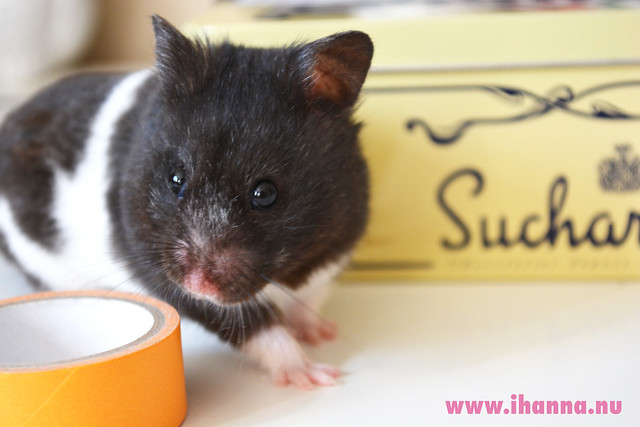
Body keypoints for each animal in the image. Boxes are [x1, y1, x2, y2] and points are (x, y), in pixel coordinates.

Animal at [0, 15, 372, 389]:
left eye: (265, 193)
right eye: (175, 179)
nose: (198, 285)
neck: (284, 273)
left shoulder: (334, 252)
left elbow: (310, 297)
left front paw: (323, 334)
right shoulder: (161, 271)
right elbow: (257, 326)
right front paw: (315, 376)